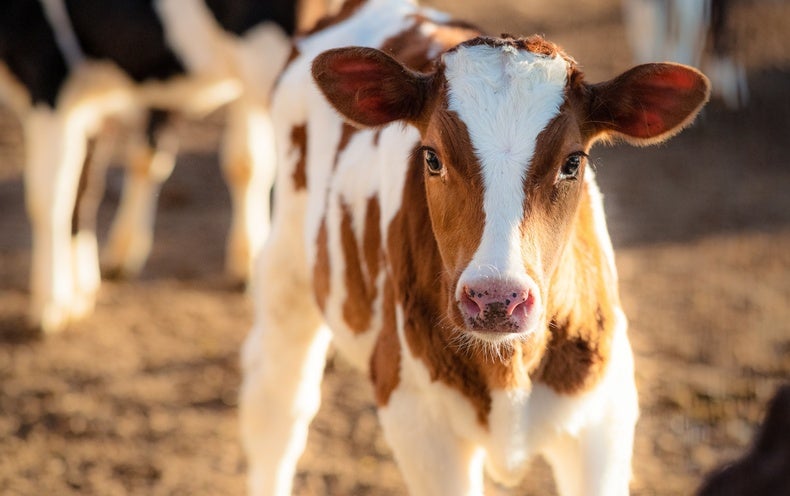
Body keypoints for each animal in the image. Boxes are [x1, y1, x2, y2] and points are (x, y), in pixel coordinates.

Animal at [241, 0, 712, 496]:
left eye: (572, 162)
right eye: (432, 157)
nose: (496, 299)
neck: (509, 367)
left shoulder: (605, 416)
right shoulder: (418, 420)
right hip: (288, 264)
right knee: (277, 403)